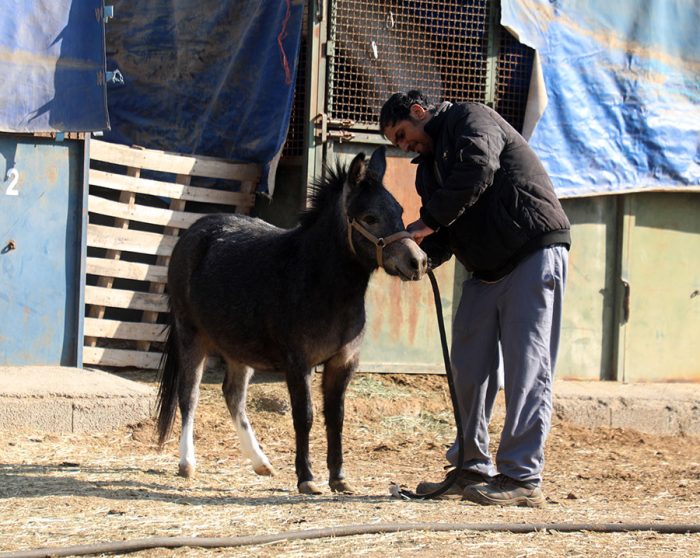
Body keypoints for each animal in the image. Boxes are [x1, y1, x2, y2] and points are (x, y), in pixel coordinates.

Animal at [157, 148, 426, 494]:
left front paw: (339, 478)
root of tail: (192, 233)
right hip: (192, 335)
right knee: (188, 394)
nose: (417, 262)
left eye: (400, 210)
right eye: (369, 218)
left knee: (233, 396)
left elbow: (335, 417)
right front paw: (307, 479)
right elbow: (305, 417)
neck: (319, 283)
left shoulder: (342, 363)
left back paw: (261, 463)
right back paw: (187, 463)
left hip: (237, 348)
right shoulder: (298, 364)